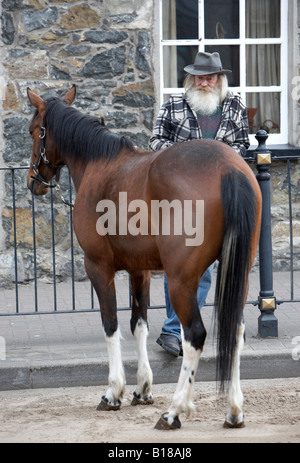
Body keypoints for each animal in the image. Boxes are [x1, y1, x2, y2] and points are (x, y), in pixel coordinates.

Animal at [26, 85, 260, 430]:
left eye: (33, 131)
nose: (34, 182)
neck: (101, 164)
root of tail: (228, 167)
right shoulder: (141, 271)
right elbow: (139, 325)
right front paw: (143, 388)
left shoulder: (98, 267)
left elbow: (110, 324)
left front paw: (114, 392)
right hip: (237, 275)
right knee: (235, 330)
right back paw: (234, 410)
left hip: (181, 282)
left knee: (195, 335)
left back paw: (175, 411)